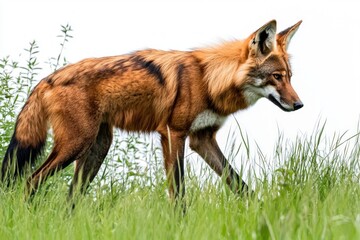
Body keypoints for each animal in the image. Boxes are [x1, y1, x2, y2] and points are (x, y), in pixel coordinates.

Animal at [1, 19, 302, 202]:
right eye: (276, 77)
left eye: (289, 77)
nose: (299, 105)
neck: (208, 80)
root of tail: (47, 79)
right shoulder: (173, 133)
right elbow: (179, 192)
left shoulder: (202, 139)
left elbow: (240, 185)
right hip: (75, 145)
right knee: (30, 182)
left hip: (96, 149)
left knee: (71, 196)